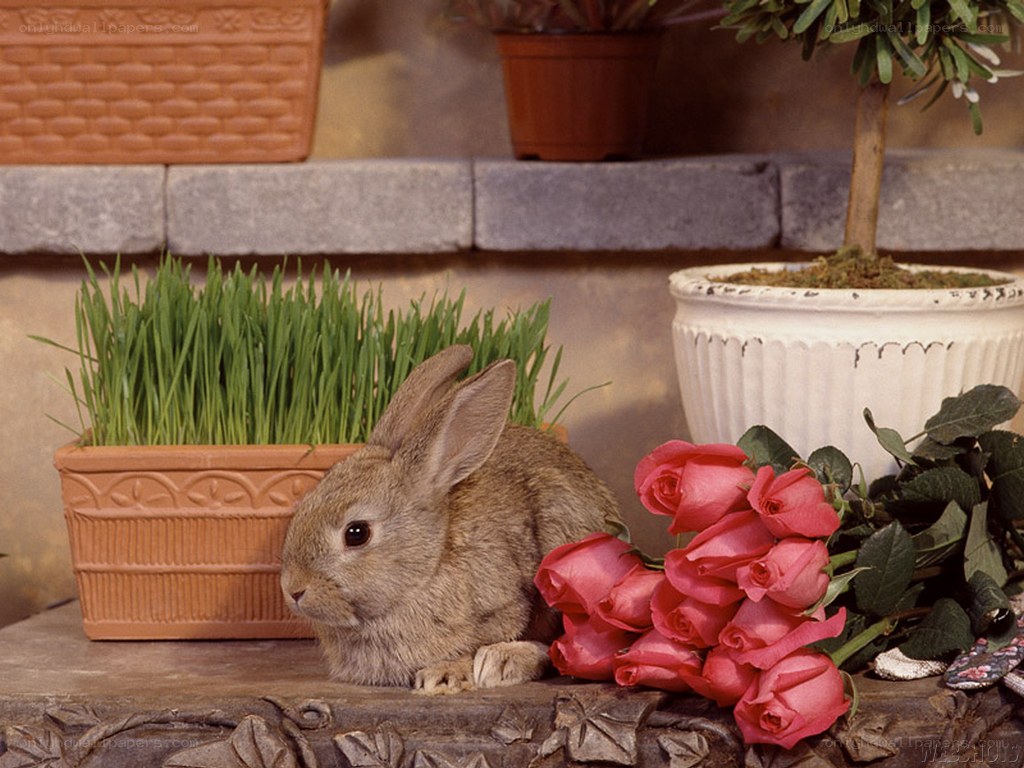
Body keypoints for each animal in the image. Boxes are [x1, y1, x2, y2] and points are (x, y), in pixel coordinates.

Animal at [280, 344, 622, 694]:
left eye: (356, 533)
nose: (293, 590)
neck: (426, 569)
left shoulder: (506, 604)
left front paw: (443, 675)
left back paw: (502, 661)